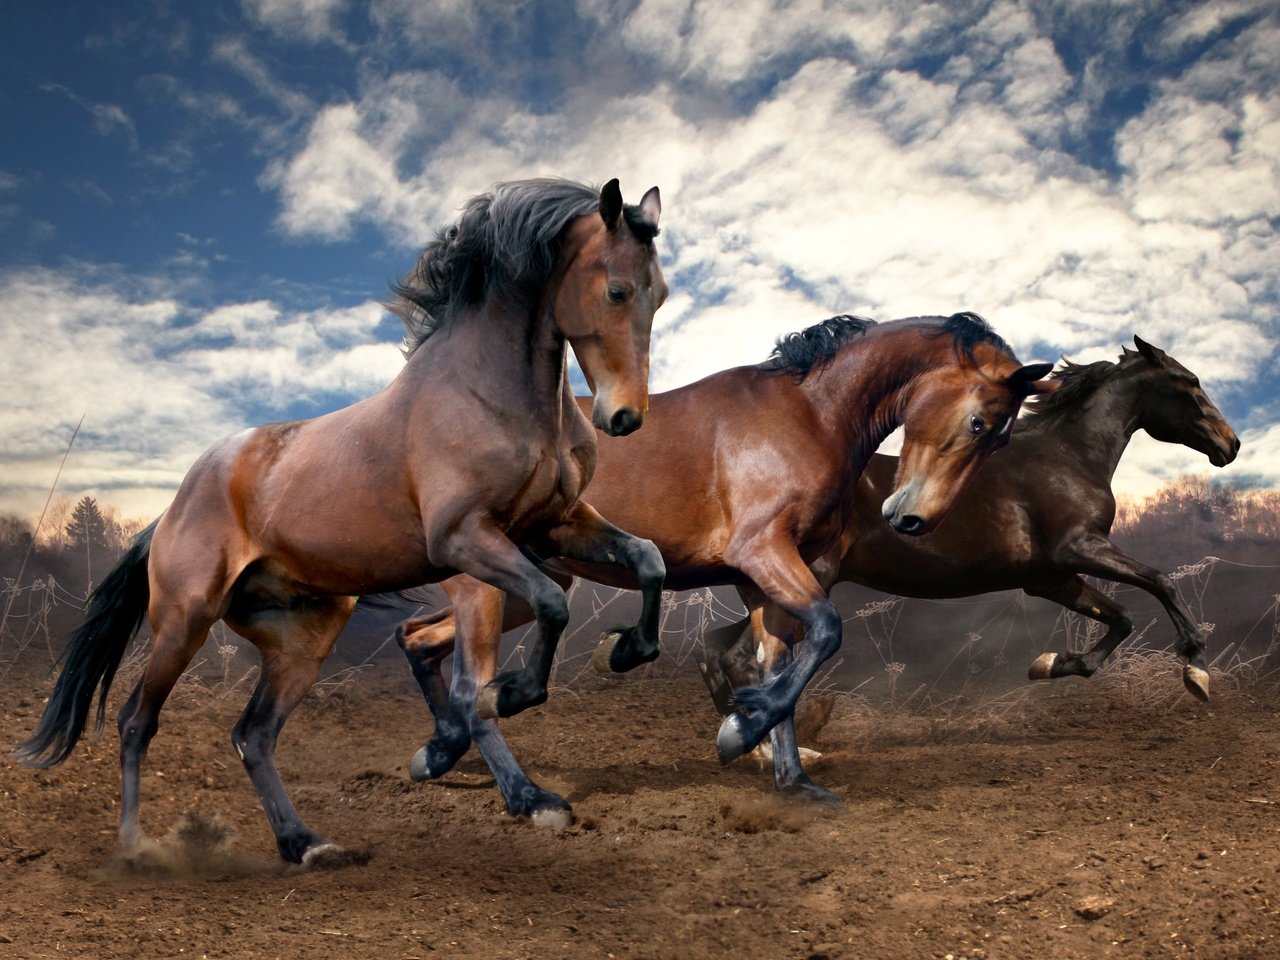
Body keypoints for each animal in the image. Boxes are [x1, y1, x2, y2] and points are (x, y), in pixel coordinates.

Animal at [20, 176, 670, 870]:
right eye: (616, 290)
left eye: (660, 294)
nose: (624, 417)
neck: (491, 394)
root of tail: (168, 511)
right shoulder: (465, 540)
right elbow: (541, 613)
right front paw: (517, 724)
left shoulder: (555, 525)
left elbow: (646, 559)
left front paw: (625, 650)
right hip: (184, 621)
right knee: (137, 722)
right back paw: (136, 847)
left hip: (303, 636)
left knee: (252, 734)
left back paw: (304, 843)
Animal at [396, 312, 1049, 814]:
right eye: (979, 422)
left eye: (998, 440)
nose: (912, 519)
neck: (810, 415)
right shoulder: (763, 552)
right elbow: (826, 632)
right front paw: (739, 732)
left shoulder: (764, 581)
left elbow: (782, 662)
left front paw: (792, 777)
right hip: (487, 588)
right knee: (469, 686)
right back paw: (527, 796)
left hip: (528, 585)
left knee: (418, 639)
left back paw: (437, 753)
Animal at [701, 335, 1239, 721]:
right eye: (1190, 381)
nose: (1230, 444)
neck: (1068, 458)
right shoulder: (1078, 548)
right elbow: (1160, 581)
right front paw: (1196, 669)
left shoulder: (1050, 578)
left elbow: (1121, 617)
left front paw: (1051, 664)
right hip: (810, 582)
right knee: (740, 657)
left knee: (719, 650)